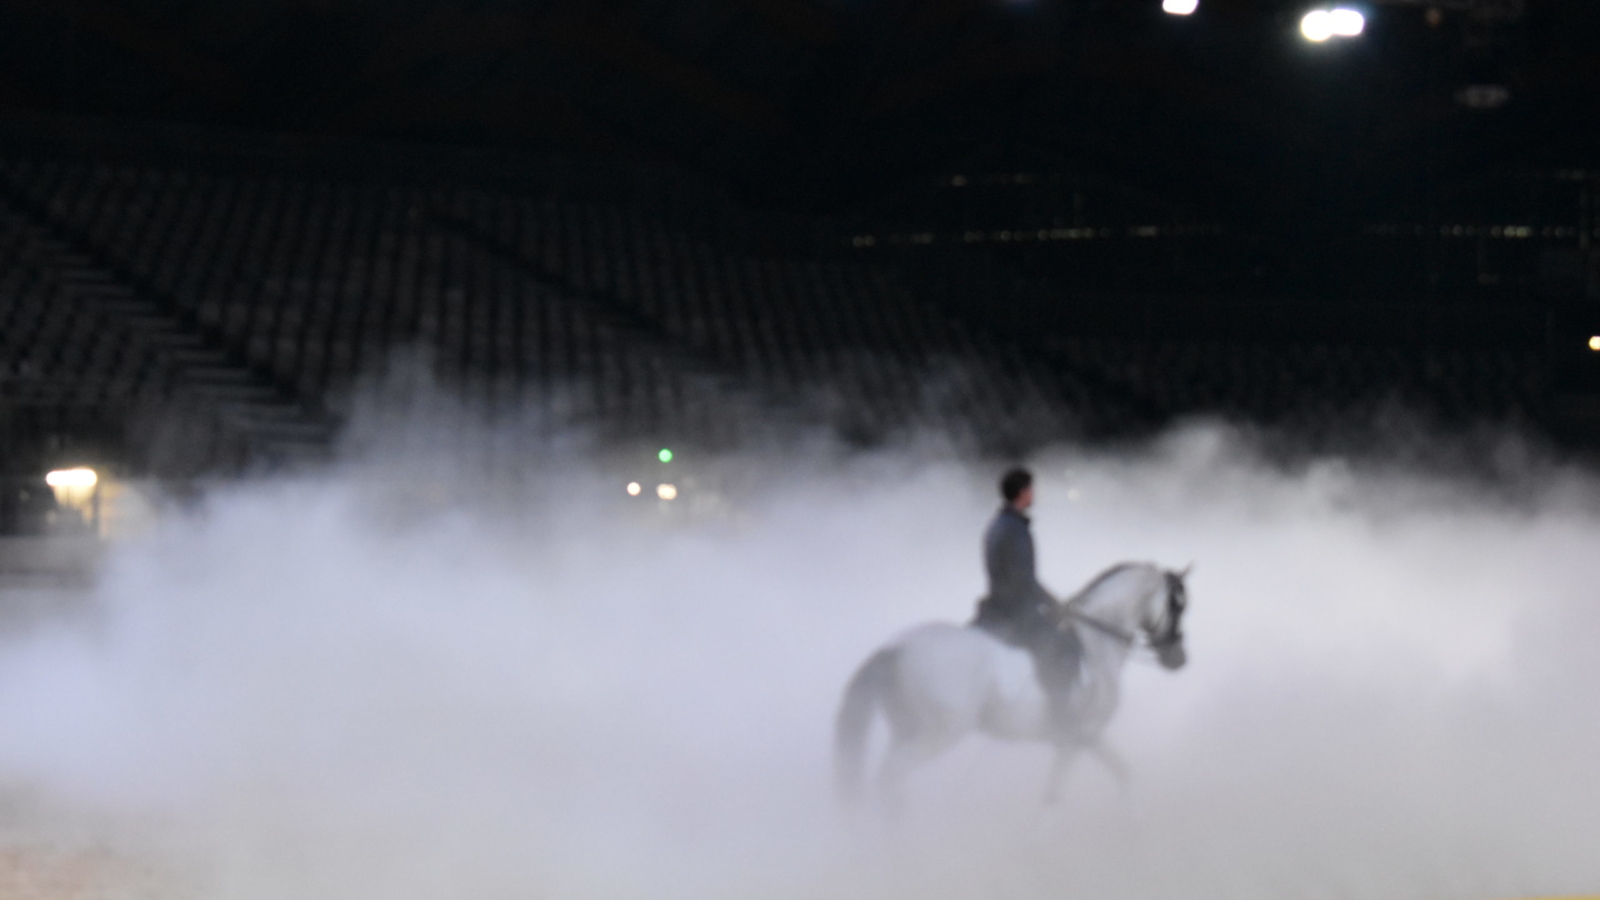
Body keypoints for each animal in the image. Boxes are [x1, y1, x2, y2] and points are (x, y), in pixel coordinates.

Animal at [838, 560, 1190, 807]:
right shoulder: (1078, 737)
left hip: (905, 728)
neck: (1095, 643)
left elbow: (1123, 775)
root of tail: (894, 649)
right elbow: (1053, 798)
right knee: (890, 775)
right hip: (937, 734)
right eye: (1178, 605)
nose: (1178, 659)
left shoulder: (1087, 738)